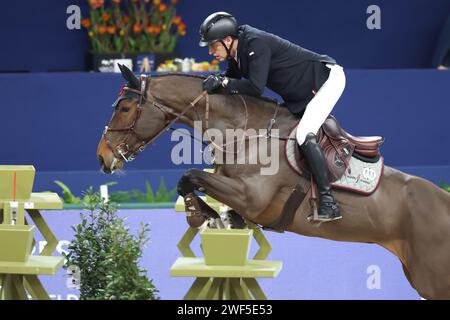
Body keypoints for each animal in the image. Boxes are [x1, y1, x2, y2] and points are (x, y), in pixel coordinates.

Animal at [96, 65, 450, 300]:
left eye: (125, 107)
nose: (102, 157)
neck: (245, 133)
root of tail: (443, 202)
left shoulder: (251, 197)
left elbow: (190, 176)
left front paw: (200, 215)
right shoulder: (232, 188)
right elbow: (195, 184)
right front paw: (213, 217)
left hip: (432, 278)